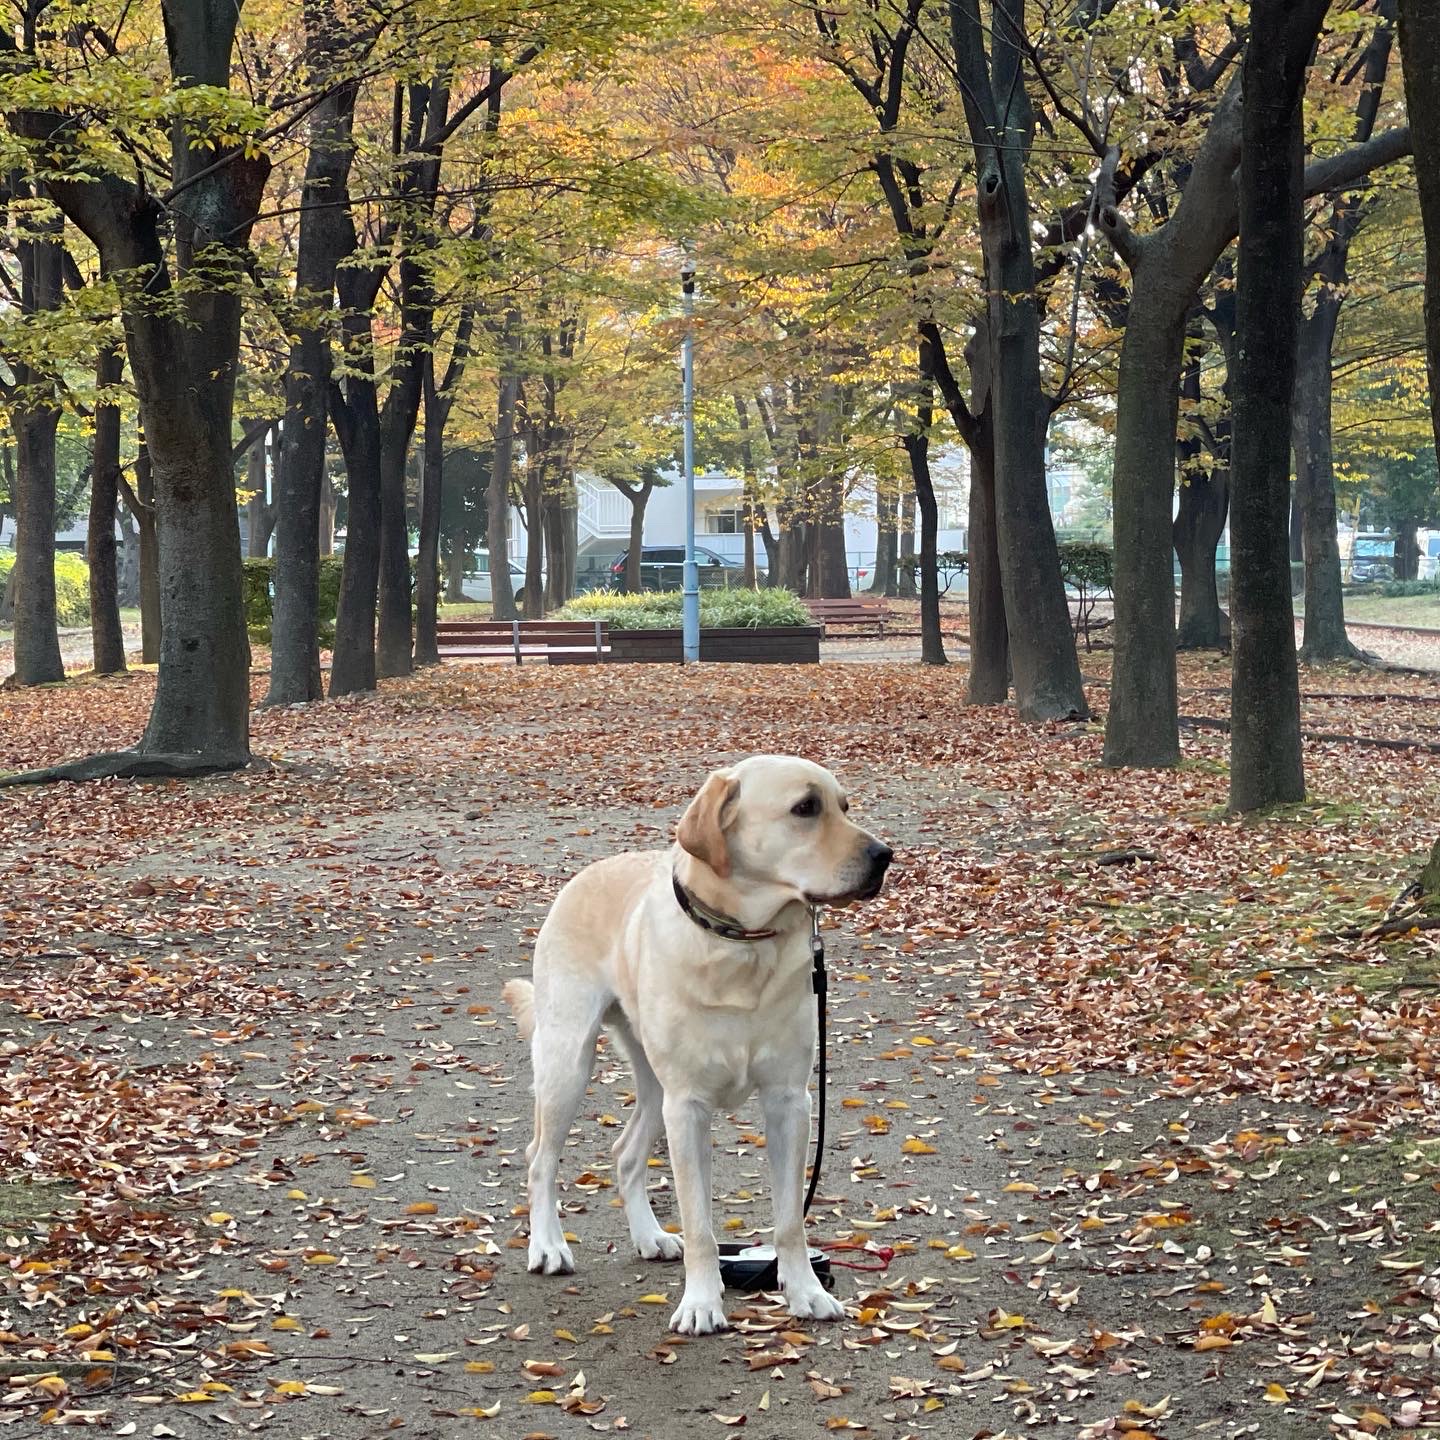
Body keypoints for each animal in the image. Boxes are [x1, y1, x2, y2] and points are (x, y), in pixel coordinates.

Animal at [504, 760, 887, 1330]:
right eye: (805, 808)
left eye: (843, 806)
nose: (885, 855)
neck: (743, 946)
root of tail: (585, 875)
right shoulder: (688, 1107)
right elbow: (700, 1224)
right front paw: (702, 1303)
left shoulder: (789, 1102)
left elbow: (789, 1221)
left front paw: (805, 1292)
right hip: (568, 1063)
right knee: (540, 1158)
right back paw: (548, 1246)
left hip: (653, 1087)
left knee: (624, 1153)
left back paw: (649, 1237)